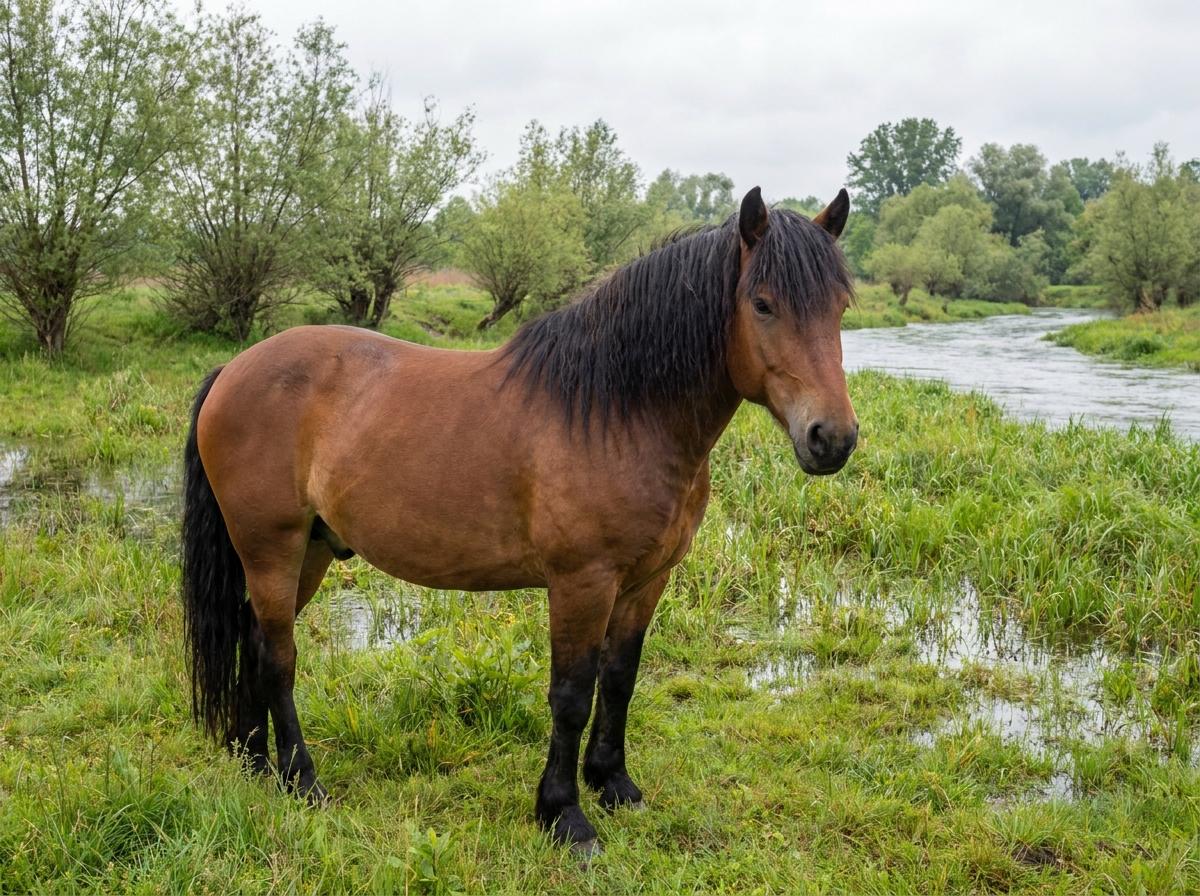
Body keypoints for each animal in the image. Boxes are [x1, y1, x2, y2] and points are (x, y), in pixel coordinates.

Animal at [181, 186, 858, 855]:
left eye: (840, 306)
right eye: (763, 304)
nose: (832, 438)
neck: (618, 411)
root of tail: (232, 370)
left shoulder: (646, 580)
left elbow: (619, 679)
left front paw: (615, 786)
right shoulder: (582, 582)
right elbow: (571, 695)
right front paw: (564, 817)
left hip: (311, 552)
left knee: (252, 638)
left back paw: (256, 762)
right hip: (272, 548)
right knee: (278, 656)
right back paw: (302, 779)